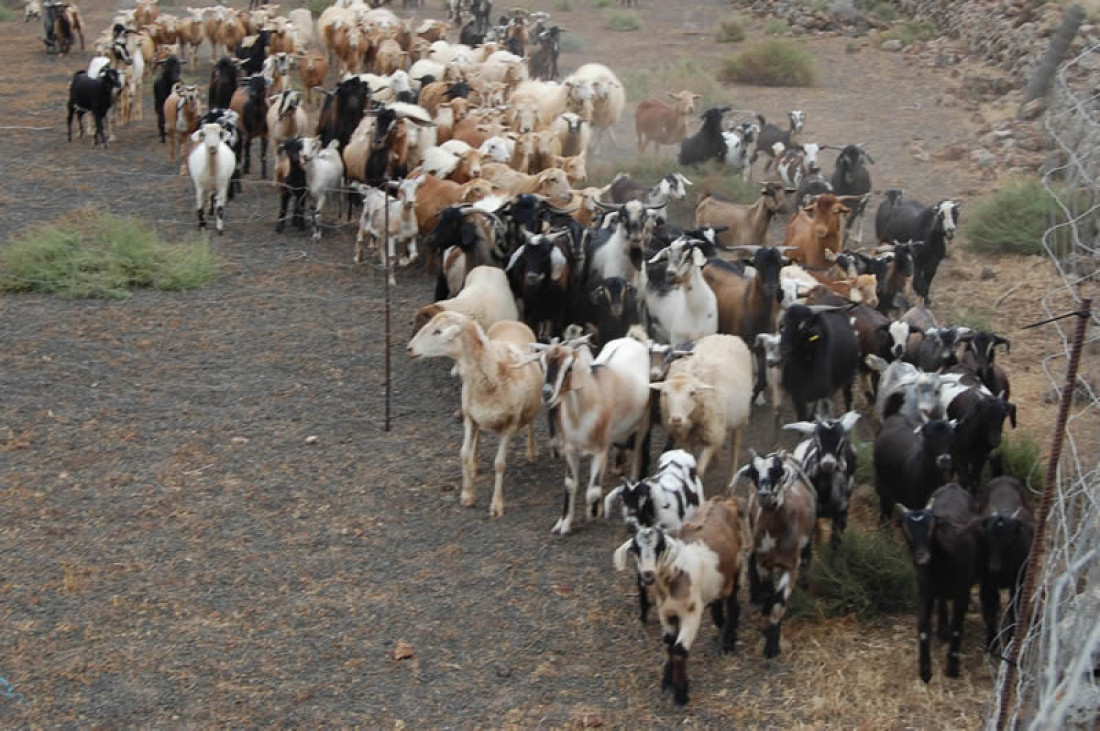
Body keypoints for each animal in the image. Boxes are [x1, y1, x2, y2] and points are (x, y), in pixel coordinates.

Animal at [407, 309, 543, 516]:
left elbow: (499, 464)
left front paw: (497, 505)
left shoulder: (510, 425)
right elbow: (463, 453)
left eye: (438, 331)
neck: (491, 372)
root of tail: (512, 321)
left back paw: (531, 451)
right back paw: (474, 465)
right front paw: (467, 494)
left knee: (531, 423)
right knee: (478, 436)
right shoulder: (469, 417)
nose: (409, 349)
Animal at [897, 481, 985, 681]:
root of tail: (953, 485)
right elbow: (923, 628)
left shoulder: (962, 592)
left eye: (931, 527)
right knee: (943, 599)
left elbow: (957, 628)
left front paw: (952, 667)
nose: (921, 558)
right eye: (906, 530)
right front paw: (925, 670)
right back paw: (942, 627)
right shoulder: (924, 590)